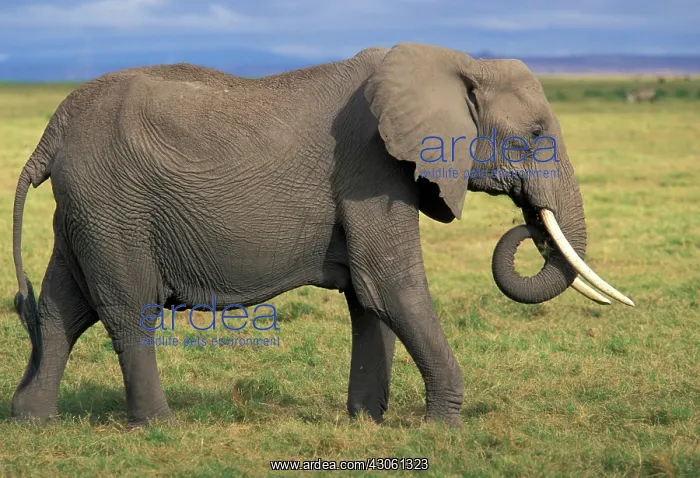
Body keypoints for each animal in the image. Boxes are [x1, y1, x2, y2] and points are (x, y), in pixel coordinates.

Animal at [11, 42, 634, 428]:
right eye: (533, 135)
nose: (526, 223)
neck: (455, 62)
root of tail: (51, 132)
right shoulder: (369, 167)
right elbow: (390, 285)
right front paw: (444, 428)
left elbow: (368, 296)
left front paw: (367, 423)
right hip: (114, 205)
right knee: (126, 308)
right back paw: (159, 426)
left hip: (87, 210)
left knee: (63, 306)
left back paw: (32, 419)